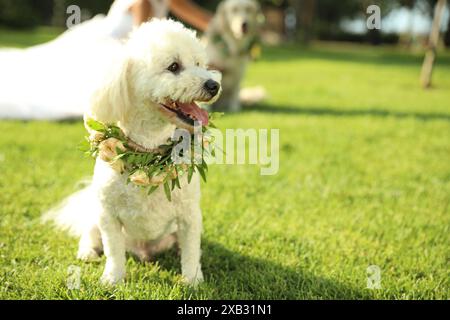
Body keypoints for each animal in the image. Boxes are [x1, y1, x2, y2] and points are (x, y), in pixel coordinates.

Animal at [44, 19, 221, 284]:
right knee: (90, 234)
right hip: (94, 214)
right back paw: (87, 252)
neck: (149, 154)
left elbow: (191, 252)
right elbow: (114, 251)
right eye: (174, 66)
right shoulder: (108, 217)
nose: (214, 85)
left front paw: (193, 281)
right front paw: (112, 278)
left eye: (199, 64)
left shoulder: (189, 215)